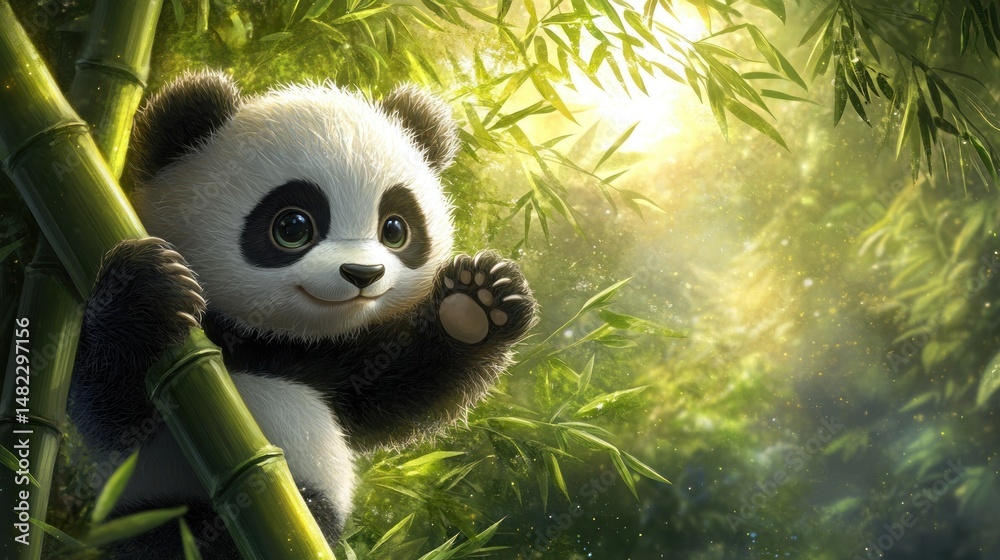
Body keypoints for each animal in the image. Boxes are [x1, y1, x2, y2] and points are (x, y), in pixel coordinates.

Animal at [69, 71, 537, 559]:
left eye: (395, 228)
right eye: (292, 227)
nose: (363, 274)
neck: (262, 337)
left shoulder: (327, 360)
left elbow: (396, 388)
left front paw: (476, 303)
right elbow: (107, 407)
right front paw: (146, 288)